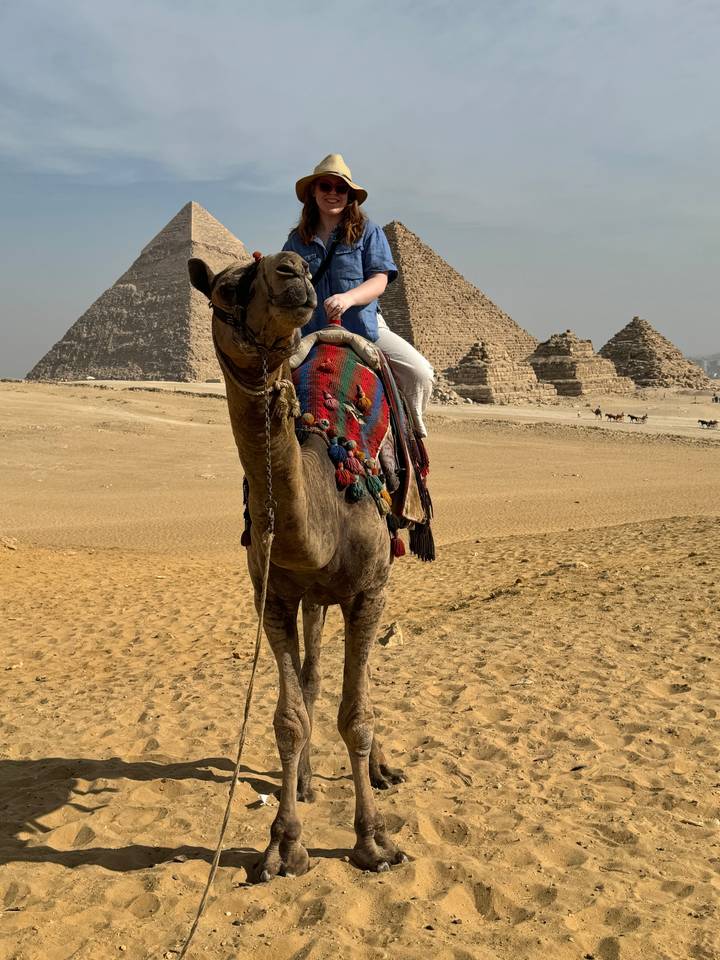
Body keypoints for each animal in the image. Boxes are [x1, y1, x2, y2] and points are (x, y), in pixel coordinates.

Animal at [188, 251, 407, 880]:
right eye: (224, 289)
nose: (293, 271)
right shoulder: (275, 598)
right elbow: (288, 719)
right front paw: (283, 846)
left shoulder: (369, 591)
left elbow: (356, 715)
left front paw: (374, 841)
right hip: (314, 599)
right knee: (311, 679)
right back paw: (308, 780)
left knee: (358, 685)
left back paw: (381, 770)